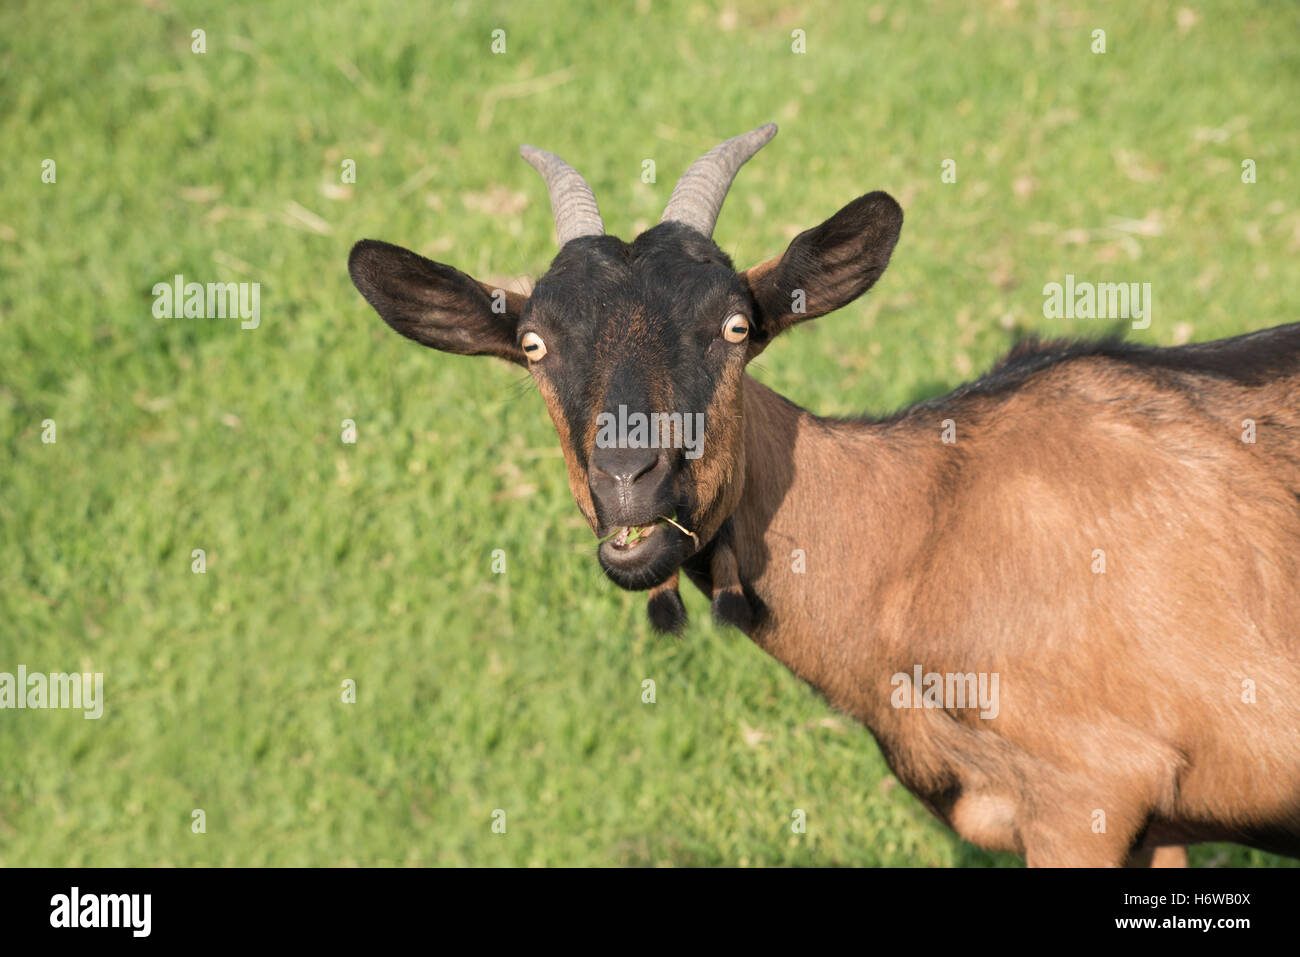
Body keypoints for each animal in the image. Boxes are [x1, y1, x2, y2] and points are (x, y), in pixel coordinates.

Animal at [348, 123, 1300, 867]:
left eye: (736, 326)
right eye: (536, 344)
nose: (629, 483)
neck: (926, 528)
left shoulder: (1090, 791)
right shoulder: (1152, 823)